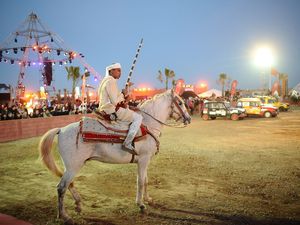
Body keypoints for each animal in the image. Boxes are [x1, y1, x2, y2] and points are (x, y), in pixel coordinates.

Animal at [39, 89, 190, 224]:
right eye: (180, 103)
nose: (188, 119)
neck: (148, 125)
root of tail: (61, 130)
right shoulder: (143, 160)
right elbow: (140, 182)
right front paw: (141, 205)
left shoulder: (145, 161)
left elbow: (146, 181)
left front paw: (148, 199)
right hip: (73, 167)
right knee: (61, 187)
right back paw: (65, 216)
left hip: (72, 167)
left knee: (68, 184)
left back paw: (78, 205)